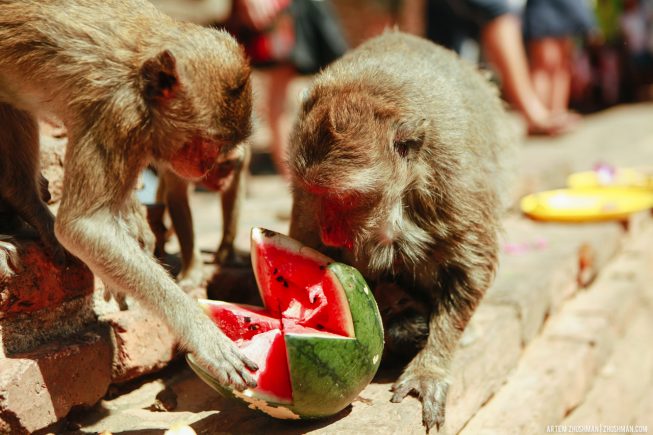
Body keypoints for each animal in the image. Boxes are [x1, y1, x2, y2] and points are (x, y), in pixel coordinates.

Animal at [154, 142, 251, 290]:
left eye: (227, 163)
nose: (224, 180)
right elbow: (177, 195)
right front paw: (192, 273)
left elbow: (235, 186)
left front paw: (228, 255)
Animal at [288, 32, 516, 430]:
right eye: (315, 192)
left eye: (345, 199)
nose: (328, 229)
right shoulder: (305, 205)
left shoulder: (454, 179)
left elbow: (472, 264)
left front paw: (430, 366)